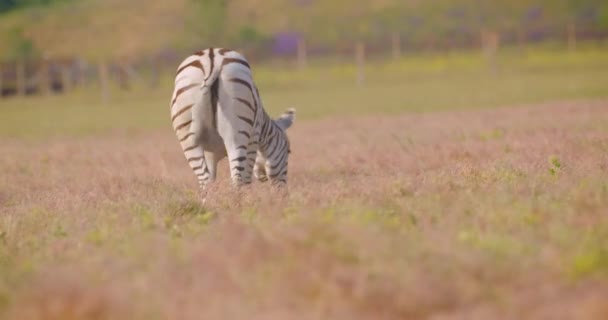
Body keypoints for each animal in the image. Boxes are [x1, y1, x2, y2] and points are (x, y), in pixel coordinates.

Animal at [170, 46, 296, 194]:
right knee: (237, 179)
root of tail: (211, 59)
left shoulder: (210, 153)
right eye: (288, 151)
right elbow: (246, 179)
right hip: (236, 134)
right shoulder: (253, 137)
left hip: (188, 138)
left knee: (205, 181)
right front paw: (248, 198)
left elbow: (211, 180)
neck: (263, 130)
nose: (283, 193)